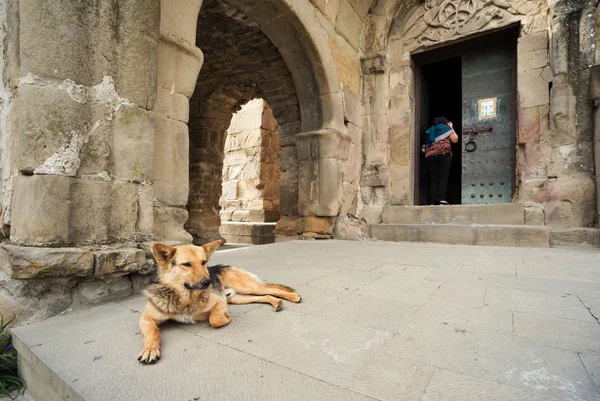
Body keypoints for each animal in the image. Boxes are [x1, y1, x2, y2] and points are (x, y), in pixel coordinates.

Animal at [138, 239, 302, 364]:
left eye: (203, 262)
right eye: (186, 264)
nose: (208, 281)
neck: (185, 298)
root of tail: (224, 266)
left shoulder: (219, 303)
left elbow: (214, 320)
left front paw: (225, 318)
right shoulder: (146, 318)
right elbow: (153, 332)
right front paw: (150, 349)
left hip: (246, 288)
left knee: (272, 289)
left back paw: (292, 296)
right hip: (238, 298)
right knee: (265, 296)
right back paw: (276, 302)